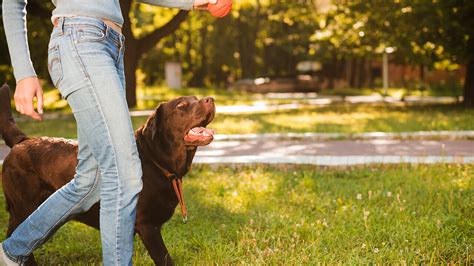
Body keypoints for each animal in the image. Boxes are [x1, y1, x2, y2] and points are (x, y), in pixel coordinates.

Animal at [0, 84, 215, 264]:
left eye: (196, 98)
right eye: (182, 105)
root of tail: (22, 140)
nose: (210, 99)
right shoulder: (147, 226)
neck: (156, 160)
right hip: (24, 207)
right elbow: (165, 259)